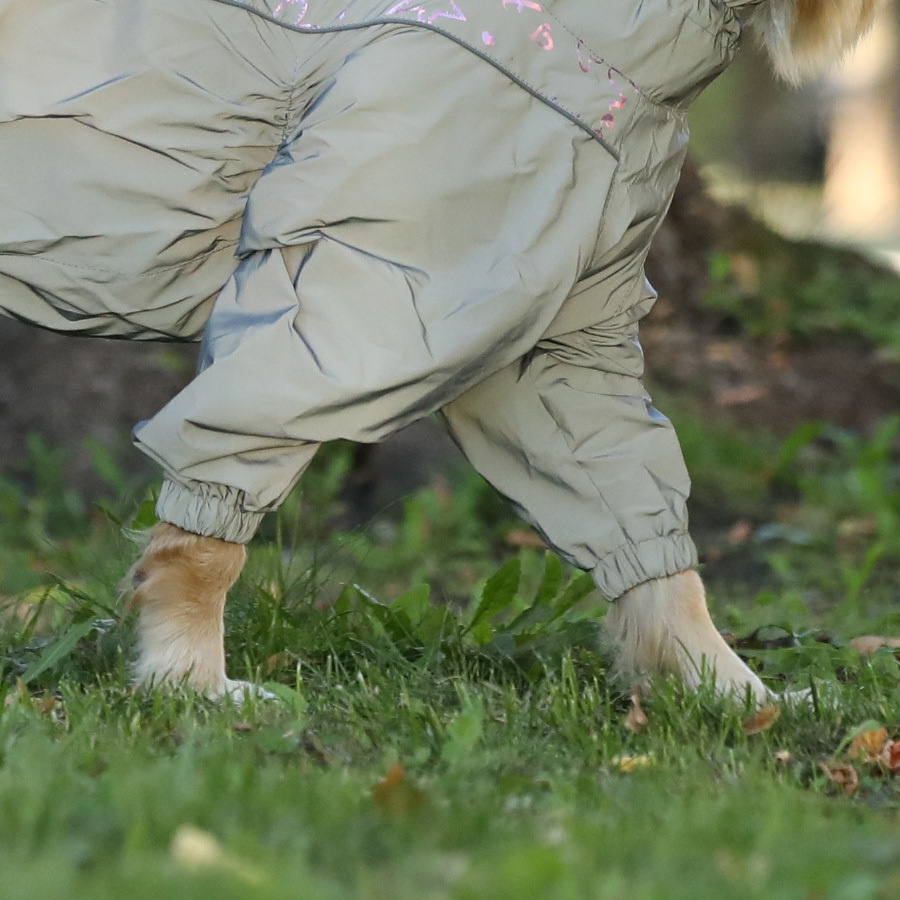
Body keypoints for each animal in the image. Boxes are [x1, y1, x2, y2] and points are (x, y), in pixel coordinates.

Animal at [0, 0, 884, 704]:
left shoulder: (556, 340)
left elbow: (646, 539)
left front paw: (732, 694)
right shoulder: (358, 312)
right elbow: (209, 529)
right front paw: (188, 682)